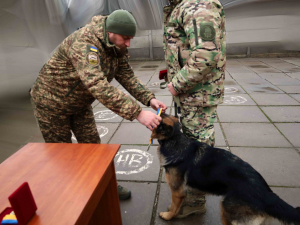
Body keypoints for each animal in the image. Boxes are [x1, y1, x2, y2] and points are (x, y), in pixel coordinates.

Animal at [151, 114, 300, 225]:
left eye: (160, 119)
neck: (175, 139)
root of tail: (267, 194)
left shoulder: (177, 192)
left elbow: (174, 207)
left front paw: (168, 216)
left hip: (226, 210)